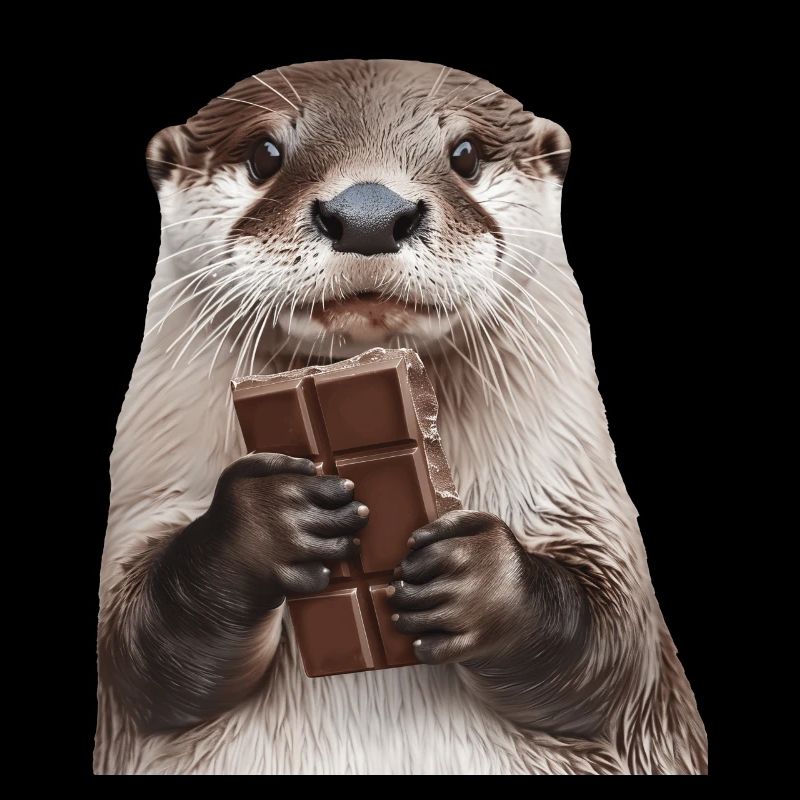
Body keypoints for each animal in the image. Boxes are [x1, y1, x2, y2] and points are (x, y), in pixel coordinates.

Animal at [95, 59, 707, 774]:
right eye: (264, 154)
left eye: (465, 155)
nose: (368, 214)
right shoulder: (146, 495)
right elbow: (137, 652)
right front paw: (268, 518)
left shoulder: (582, 496)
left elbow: (612, 651)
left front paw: (475, 577)